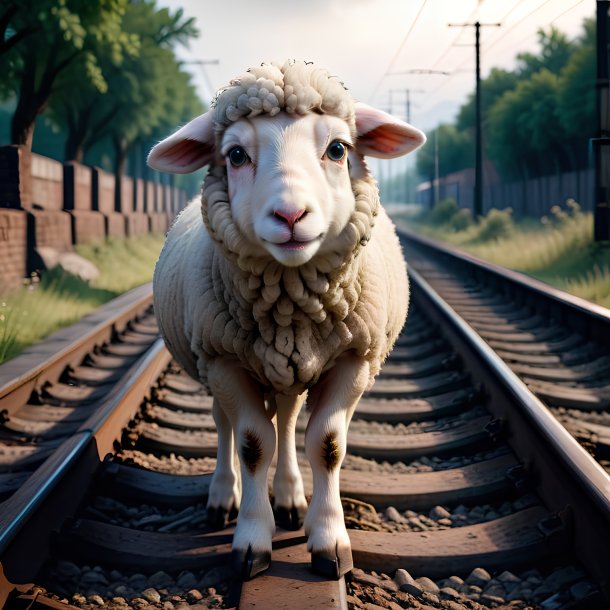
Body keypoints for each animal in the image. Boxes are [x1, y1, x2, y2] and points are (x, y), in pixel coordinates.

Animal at [147, 60, 422, 580]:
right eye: (235, 155)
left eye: (338, 149)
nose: (291, 215)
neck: (291, 312)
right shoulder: (224, 361)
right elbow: (253, 444)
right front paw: (252, 541)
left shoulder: (355, 359)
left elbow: (327, 444)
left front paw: (329, 541)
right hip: (216, 360)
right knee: (225, 425)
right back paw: (223, 496)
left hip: (287, 370)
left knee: (290, 418)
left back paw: (292, 499)